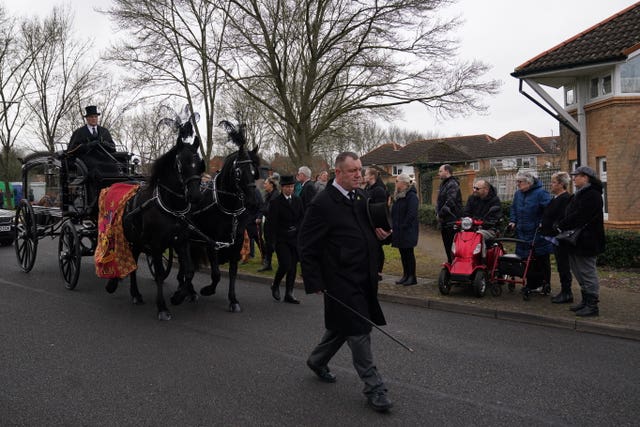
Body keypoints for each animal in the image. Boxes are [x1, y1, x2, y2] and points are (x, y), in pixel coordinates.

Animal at [105, 121, 204, 320]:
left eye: (199, 164)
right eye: (180, 164)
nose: (196, 196)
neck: (171, 206)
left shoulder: (181, 241)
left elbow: (189, 270)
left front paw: (178, 296)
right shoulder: (157, 245)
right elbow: (159, 275)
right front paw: (162, 307)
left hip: (136, 241)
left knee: (134, 263)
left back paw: (135, 294)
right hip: (127, 238)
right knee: (128, 262)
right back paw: (126, 289)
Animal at [172, 120, 260, 310]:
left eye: (254, 172)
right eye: (238, 172)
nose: (253, 202)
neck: (228, 208)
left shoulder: (236, 243)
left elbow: (232, 273)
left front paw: (233, 300)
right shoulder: (212, 243)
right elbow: (216, 273)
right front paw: (208, 289)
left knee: (187, 266)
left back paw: (187, 290)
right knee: (186, 266)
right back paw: (187, 290)